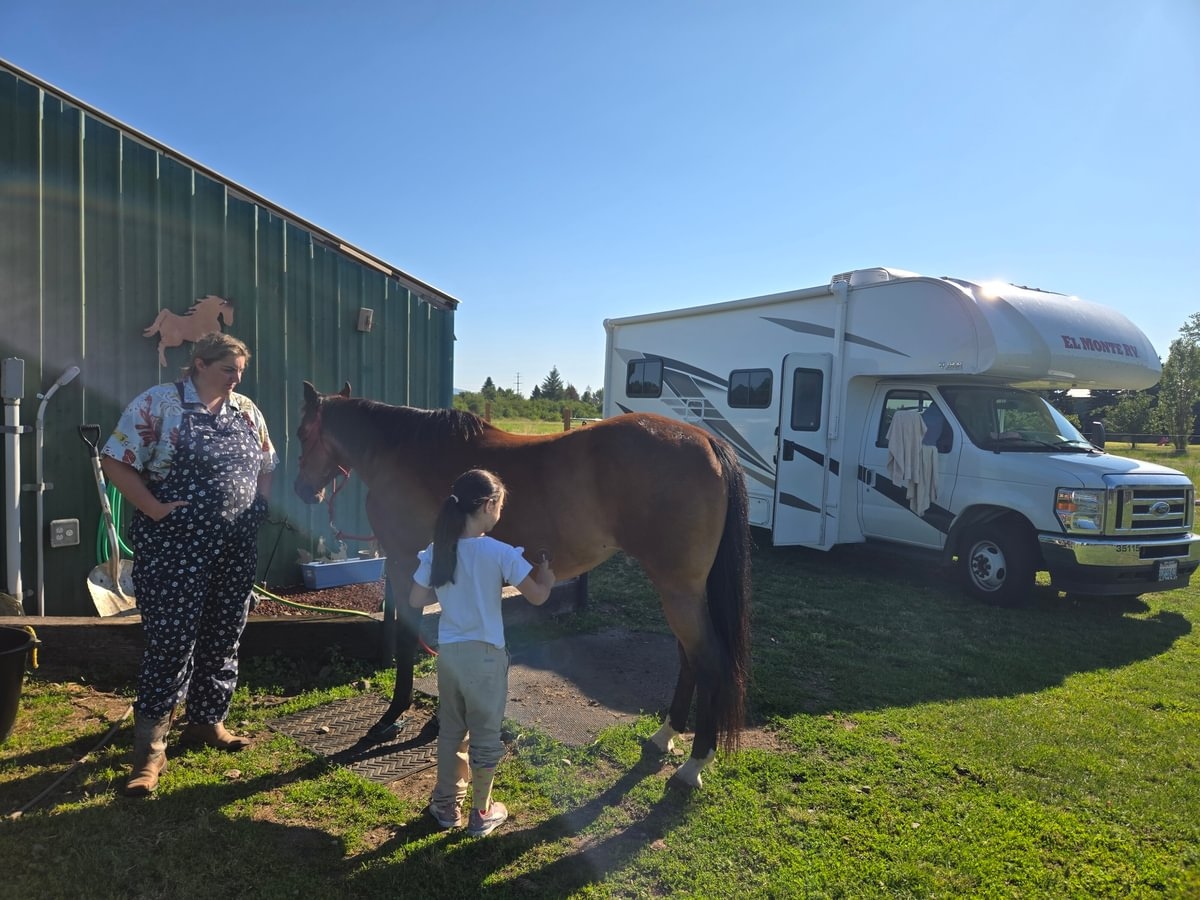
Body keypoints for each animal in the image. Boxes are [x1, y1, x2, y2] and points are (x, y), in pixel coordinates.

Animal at [292, 381, 748, 787]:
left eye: (300, 432)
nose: (303, 490)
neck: (402, 451)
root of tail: (706, 440)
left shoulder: (407, 566)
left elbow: (408, 644)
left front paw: (392, 716)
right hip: (680, 589)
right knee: (688, 658)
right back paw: (664, 736)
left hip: (678, 590)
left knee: (707, 660)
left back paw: (693, 765)